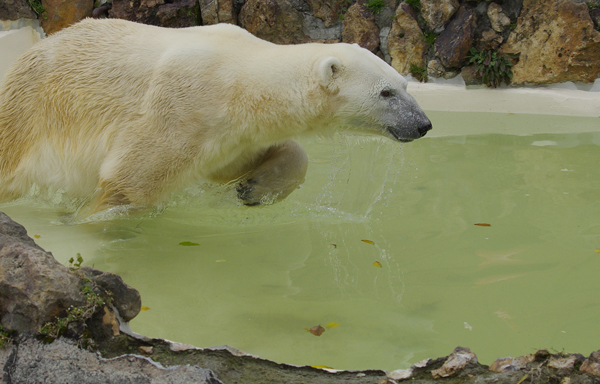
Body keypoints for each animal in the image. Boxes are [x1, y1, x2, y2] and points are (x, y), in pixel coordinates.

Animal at [0, 18, 432, 213]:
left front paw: (255, 188)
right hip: (27, 114)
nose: (423, 124)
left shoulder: (231, 135)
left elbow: (241, 164)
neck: (241, 78)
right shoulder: (181, 108)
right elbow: (128, 183)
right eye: (386, 92)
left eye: (405, 86)